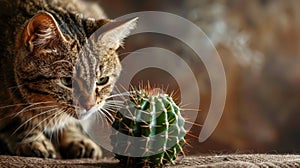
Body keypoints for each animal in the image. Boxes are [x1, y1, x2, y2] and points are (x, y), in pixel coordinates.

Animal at [0, 0, 137, 159]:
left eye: (102, 80)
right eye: (67, 81)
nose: (90, 105)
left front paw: (76, 139)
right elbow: (17, 122)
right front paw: (34, 140)